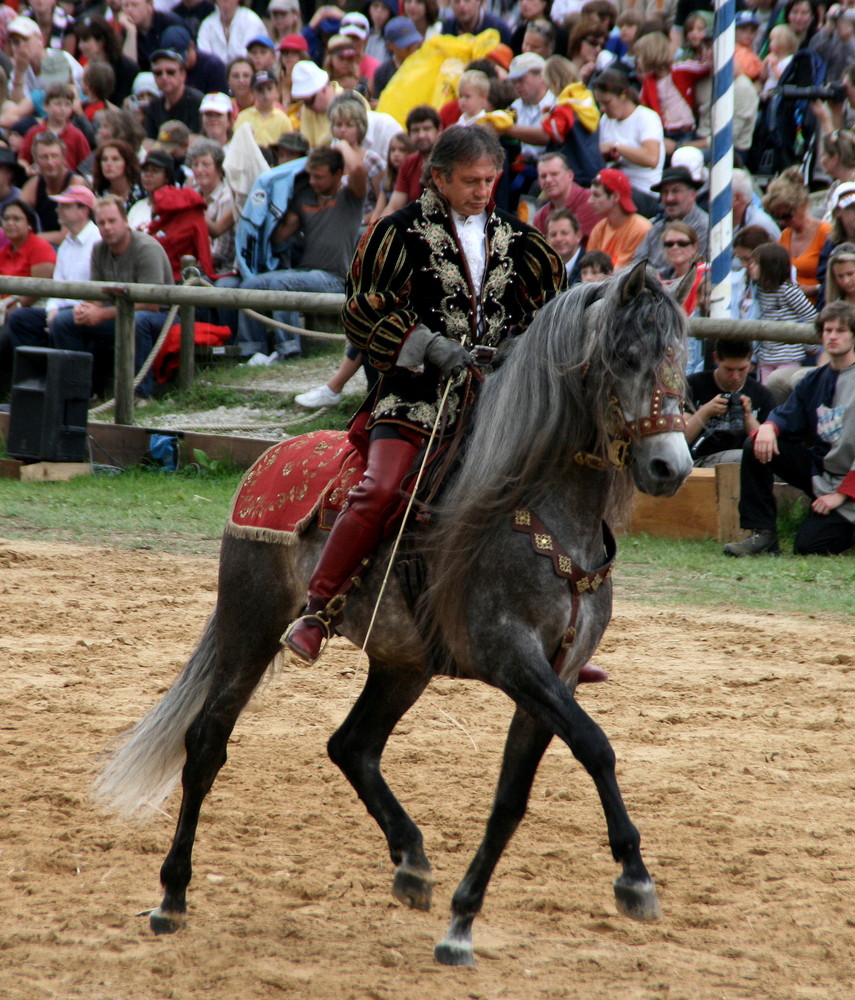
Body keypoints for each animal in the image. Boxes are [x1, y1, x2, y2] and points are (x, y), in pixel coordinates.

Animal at [95, 262, 696, 964]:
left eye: (678, 355)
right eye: (626, 357)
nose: (670, 466)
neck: (537, 512)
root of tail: (266, 460)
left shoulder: (557, 674)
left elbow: (513, 795)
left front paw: (462, 923)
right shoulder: (514, 658)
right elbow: (596, 747)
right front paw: (634, 877)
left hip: (402, 664)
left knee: (352, 745)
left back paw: (411, 861)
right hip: (252, 627)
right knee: (207, 744)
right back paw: (172, 896)